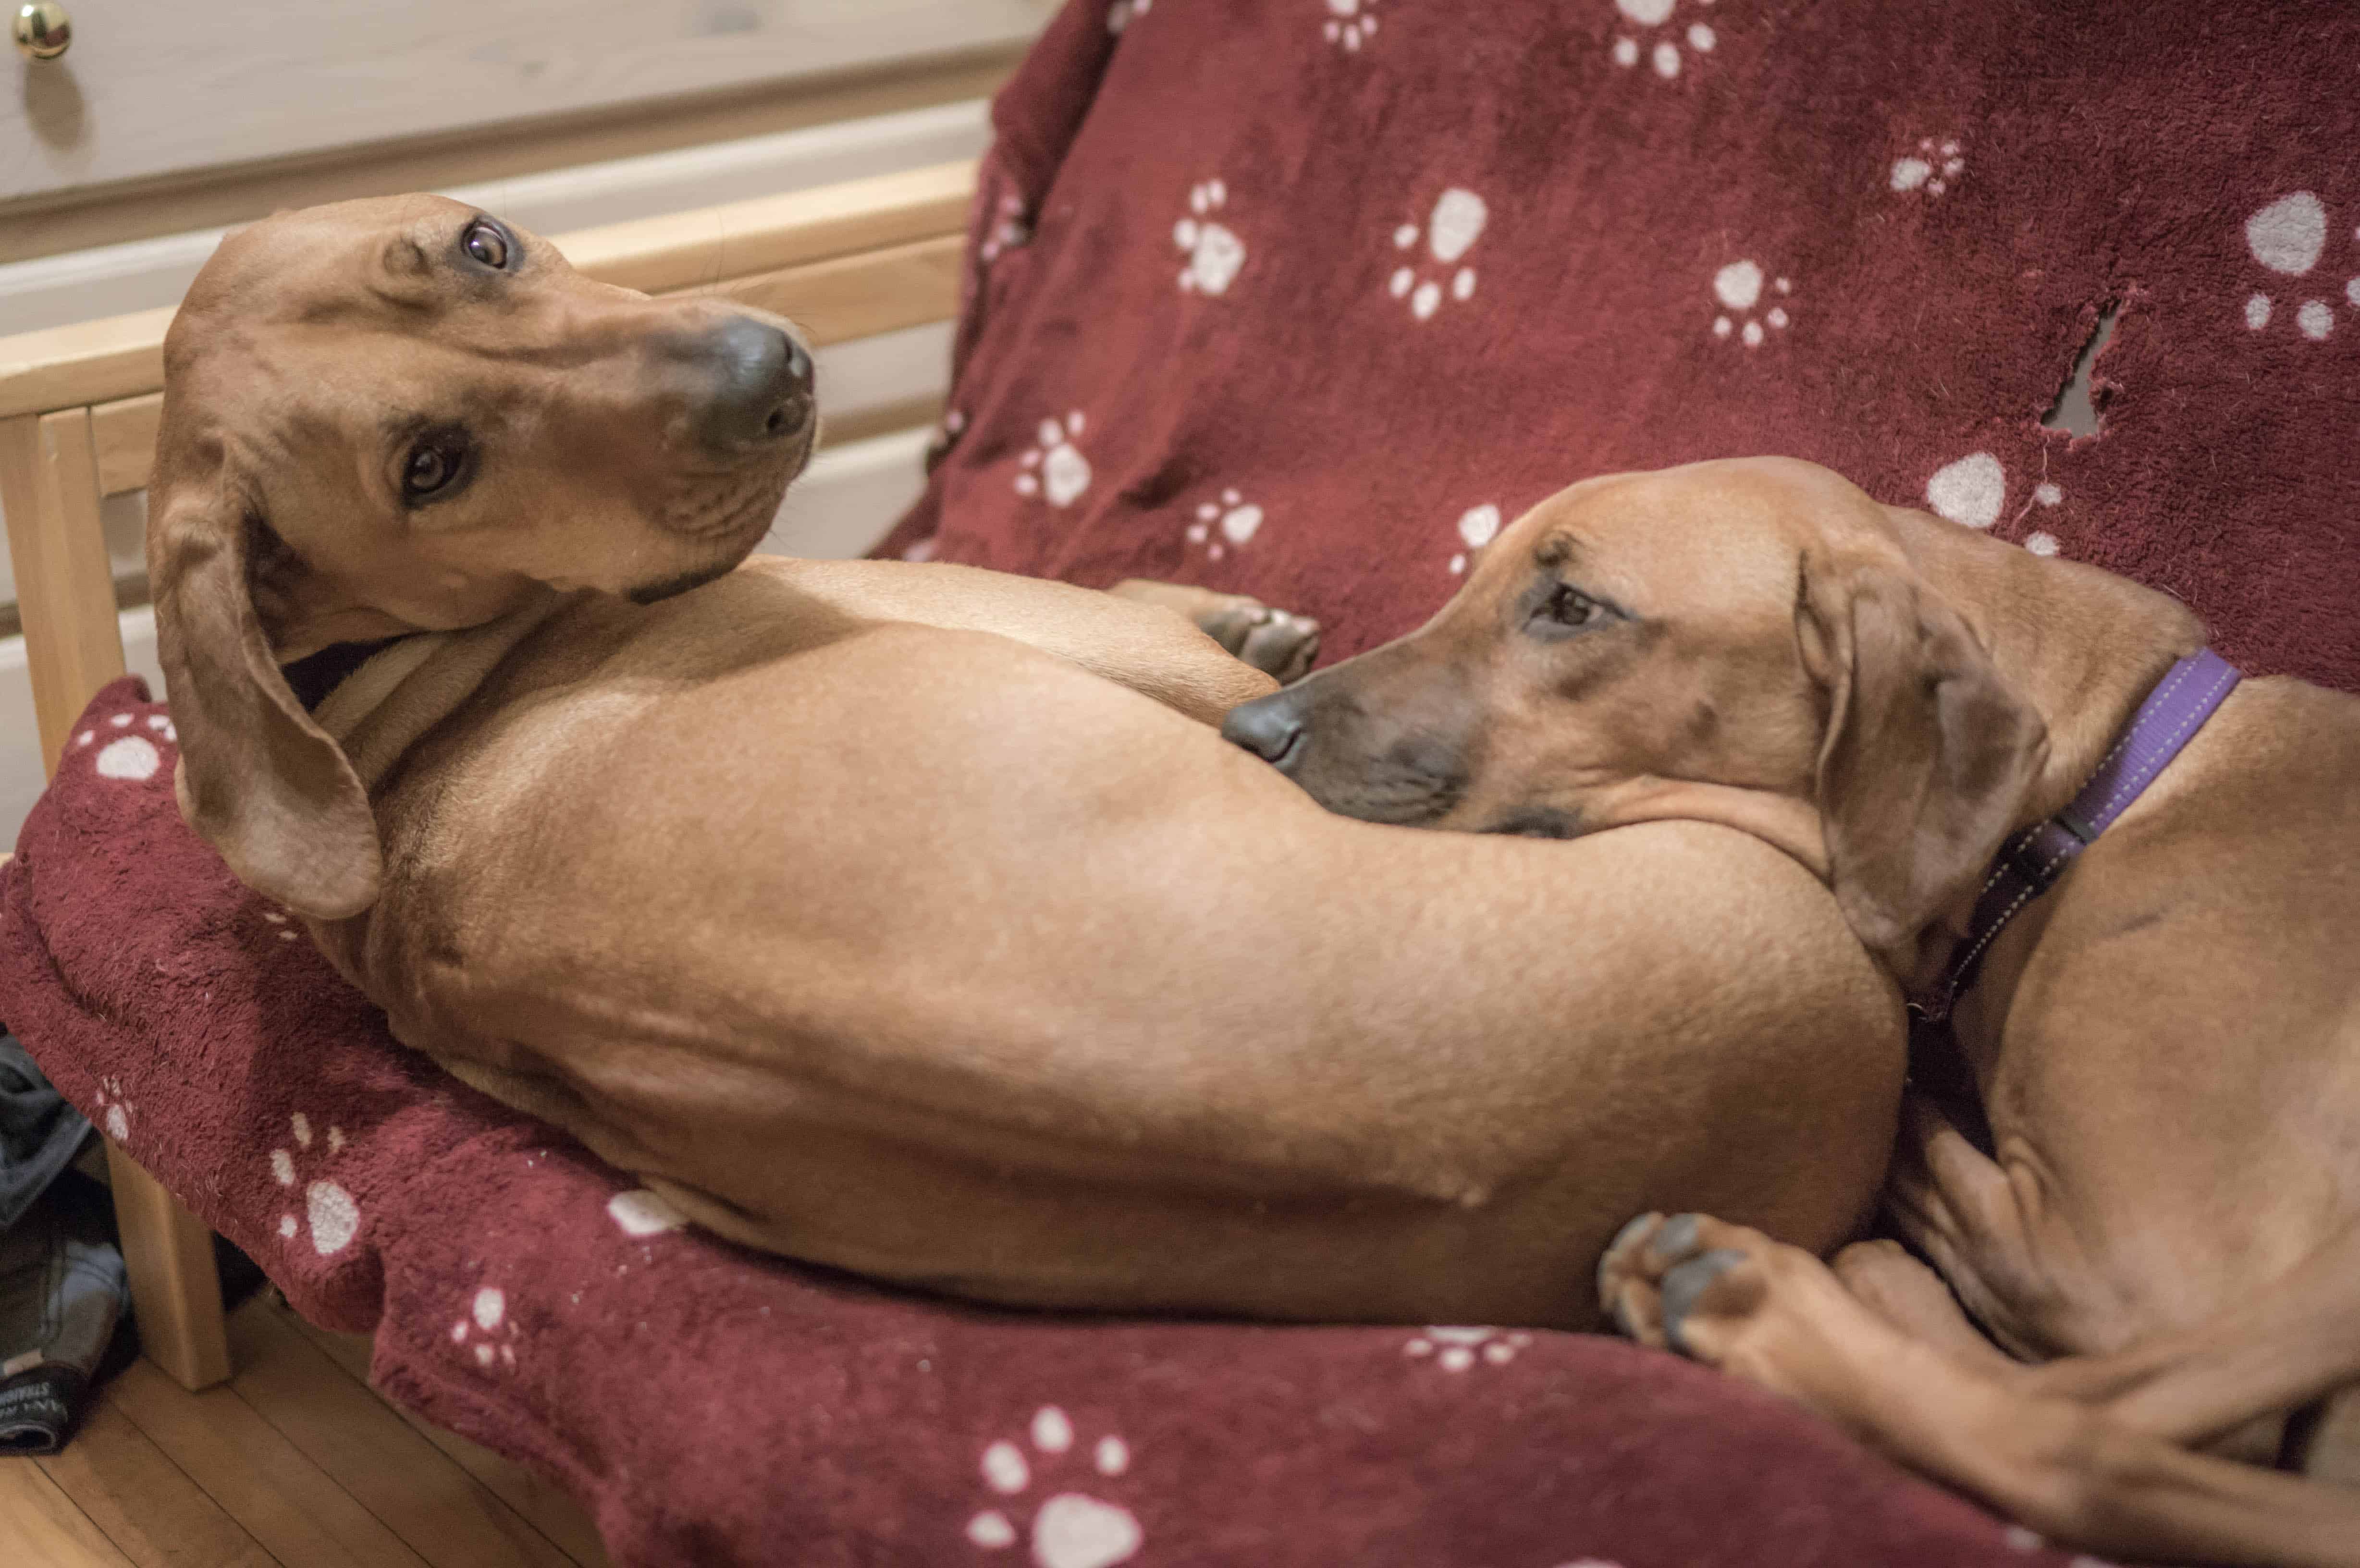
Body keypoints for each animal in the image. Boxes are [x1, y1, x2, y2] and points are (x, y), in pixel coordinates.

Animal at [1217, 455, 2360, 1568]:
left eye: (1574, 607)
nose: (1245, 728)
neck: (2114, 782)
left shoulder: (2138, 1279)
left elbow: (1934, 1161)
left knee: (2076, 1438)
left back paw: (1760, 1297)